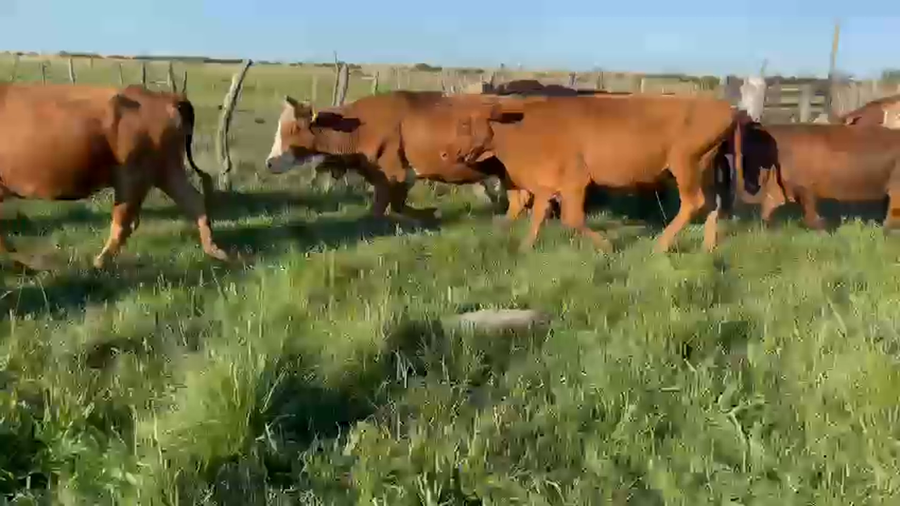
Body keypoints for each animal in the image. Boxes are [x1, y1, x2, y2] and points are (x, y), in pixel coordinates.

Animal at [0, 83, 228, 269]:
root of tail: (166, 97)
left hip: (134, 176)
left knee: (124, 221)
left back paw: (100, 262)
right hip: (166, 171)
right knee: (193, 201)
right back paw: (215, 251)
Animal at [264, 90, 509, 221]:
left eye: (294, 129)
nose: (269, 163)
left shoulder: (393, 173)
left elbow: (381, 208)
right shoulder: (396, 177)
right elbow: (394, 205)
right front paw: (428, 214)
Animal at [448, 94, 744, 253]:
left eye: (466, 124)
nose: (448, 153)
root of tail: (726, 107)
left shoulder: (575, 181)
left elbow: (571, 219)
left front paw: (606, 246)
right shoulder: (546, 185)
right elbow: (538, 217)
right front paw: (524, 248)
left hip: (684, 164)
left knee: (694, 202)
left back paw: (660, 244)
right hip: (703, 167)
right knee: (711, 204)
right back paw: (708, 247)